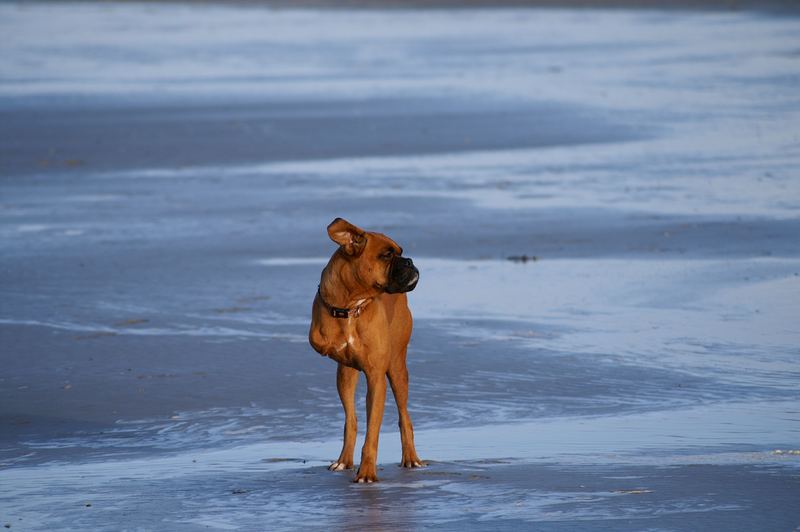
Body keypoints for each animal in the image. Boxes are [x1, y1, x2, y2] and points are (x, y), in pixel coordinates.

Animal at [308, 216, 424, 482]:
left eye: (400, 252)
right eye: (387, 255)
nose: (410, 261)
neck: (351, 304)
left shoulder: (376, 378)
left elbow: (373, 432)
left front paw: (367, 472)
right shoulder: (327, 348)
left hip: (397, 369)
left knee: (404, 416)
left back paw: (411, 458)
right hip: (345, 377)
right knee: (351, 418)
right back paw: (344, 461)